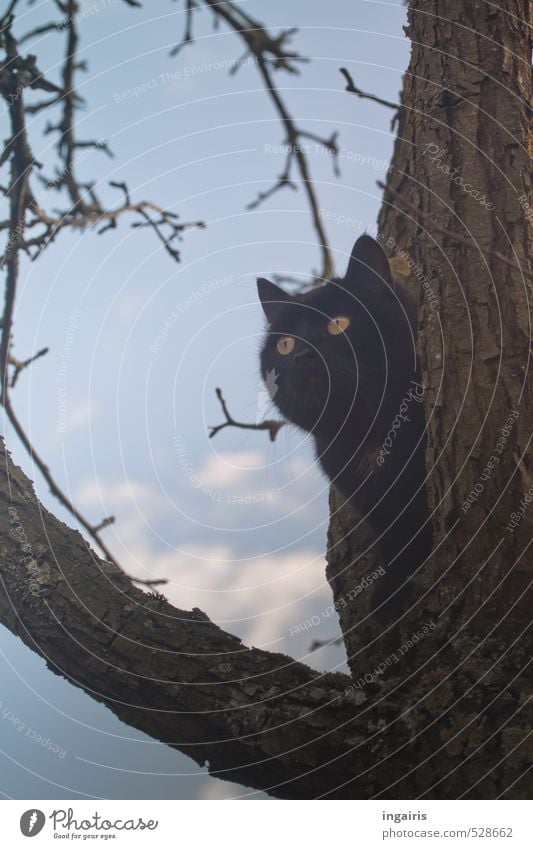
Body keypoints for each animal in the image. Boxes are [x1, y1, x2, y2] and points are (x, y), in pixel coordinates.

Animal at [258, 235, 432, 620]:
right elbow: (396, 538)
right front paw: (389, 596)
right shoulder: (371, 502)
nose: (302, 354)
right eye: (285, 344)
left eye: (339, 323)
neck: (367, 431)